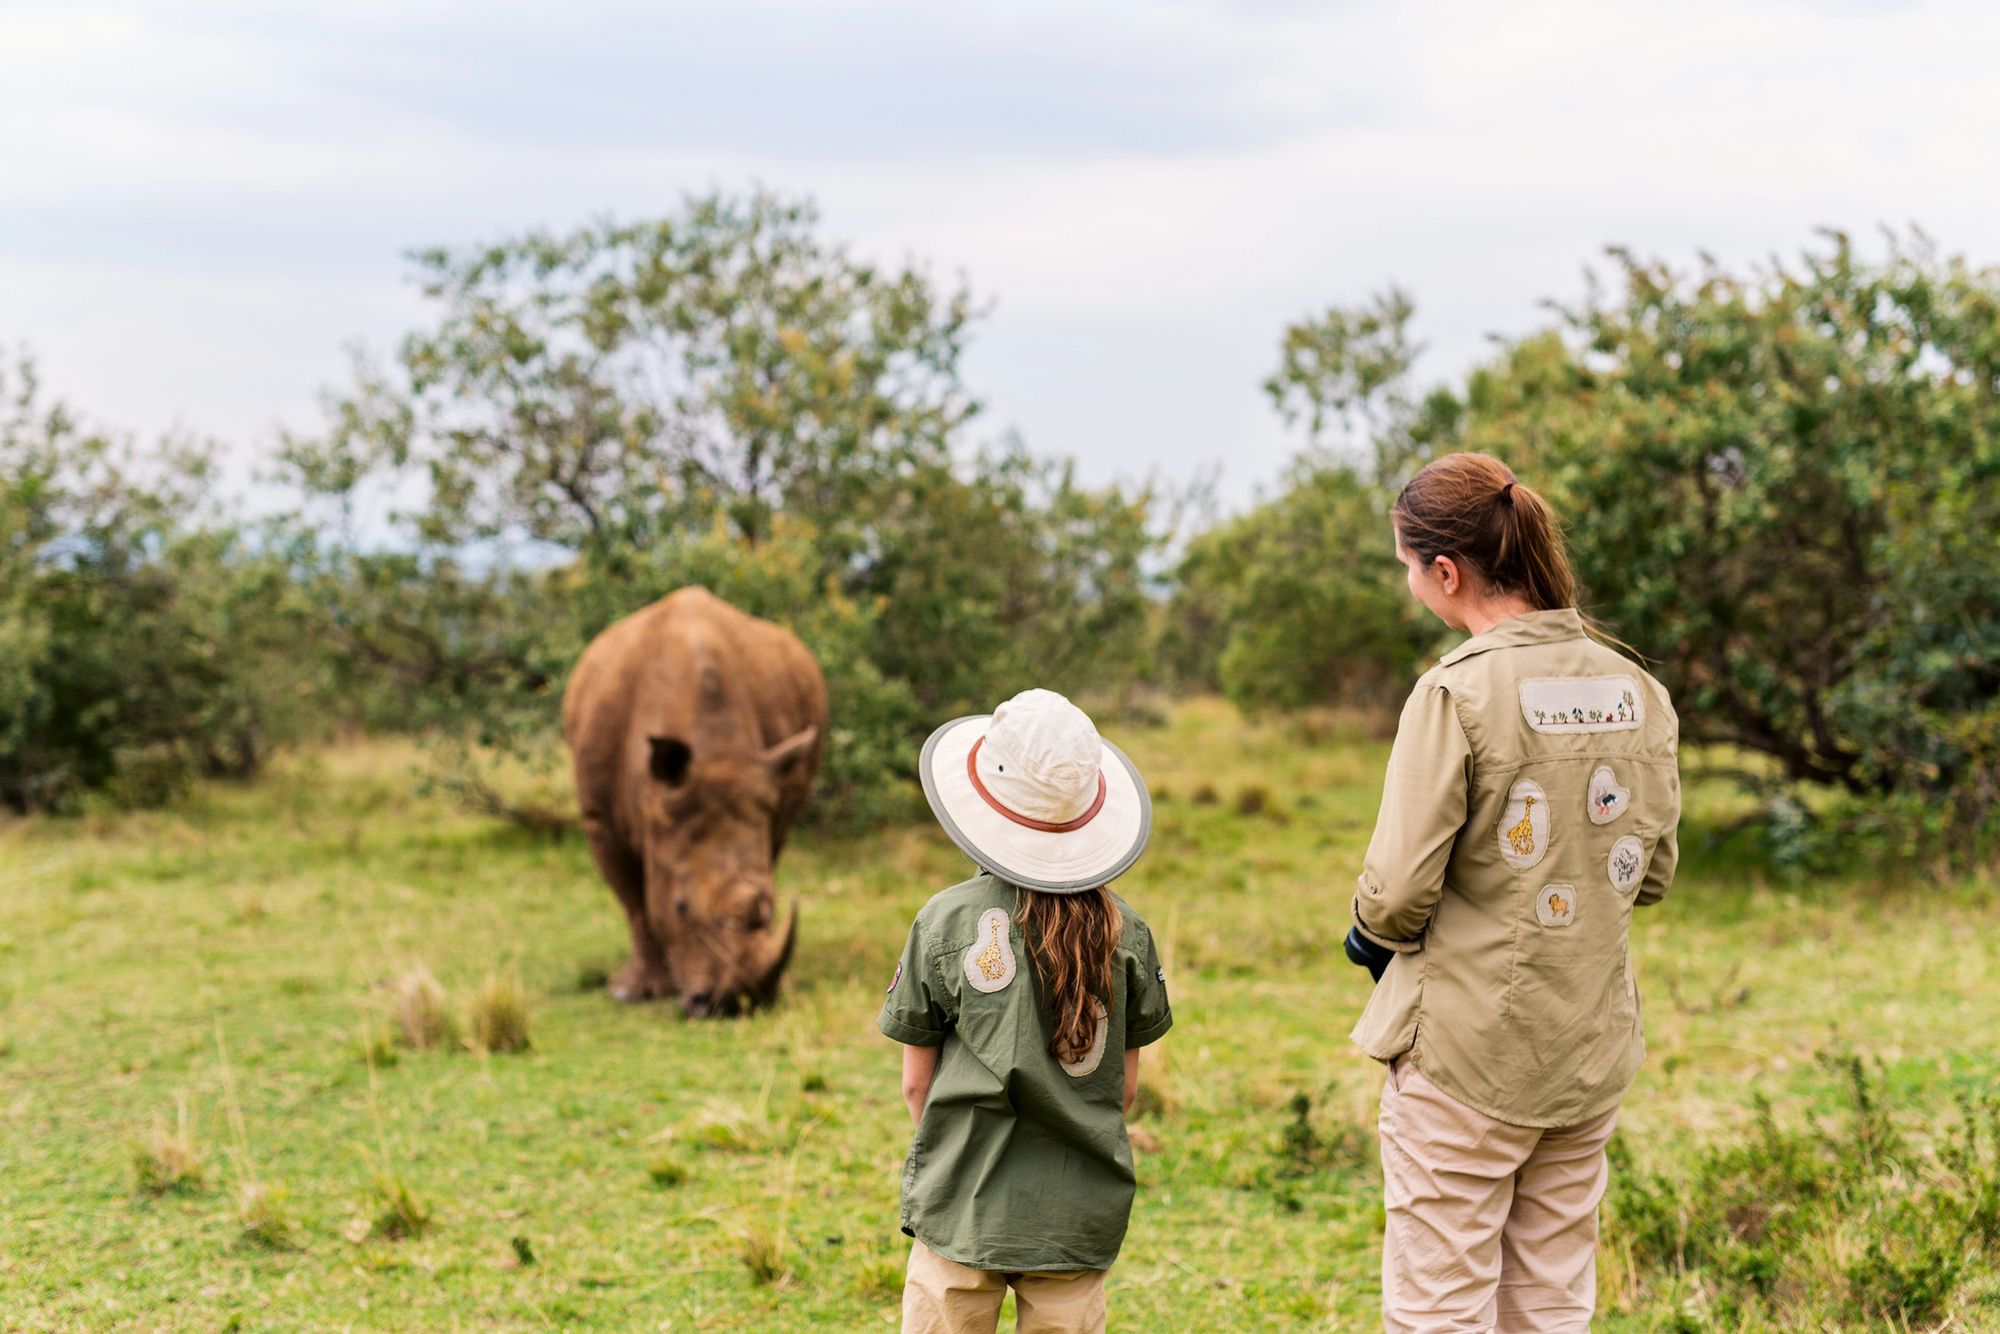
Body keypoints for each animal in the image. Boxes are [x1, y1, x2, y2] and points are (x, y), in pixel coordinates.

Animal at [562, 588, 826, 1017]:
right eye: (680, 906)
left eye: (770, 905)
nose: (732, 1004)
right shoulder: (598, 816)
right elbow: (635, 901)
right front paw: (633, 992)